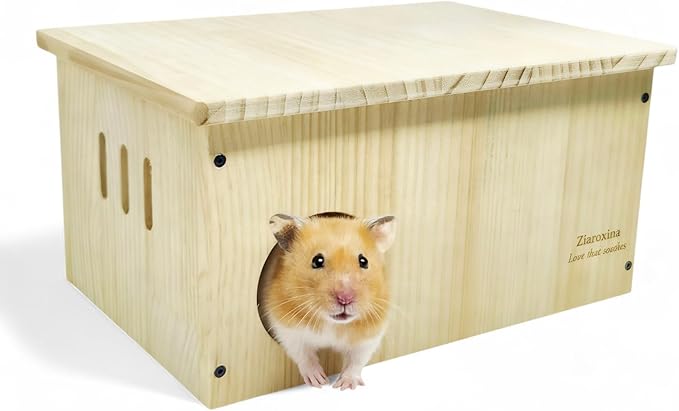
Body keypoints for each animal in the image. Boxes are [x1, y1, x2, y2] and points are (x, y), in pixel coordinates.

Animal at [259, 211, 396, 390]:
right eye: (317, 261)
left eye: (364, 261)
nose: (345, 298)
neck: (332, 323)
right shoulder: (287, 329)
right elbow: (304, 355)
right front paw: (319, 382)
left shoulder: (370, 336)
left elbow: (356, 361)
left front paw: (344, 386)